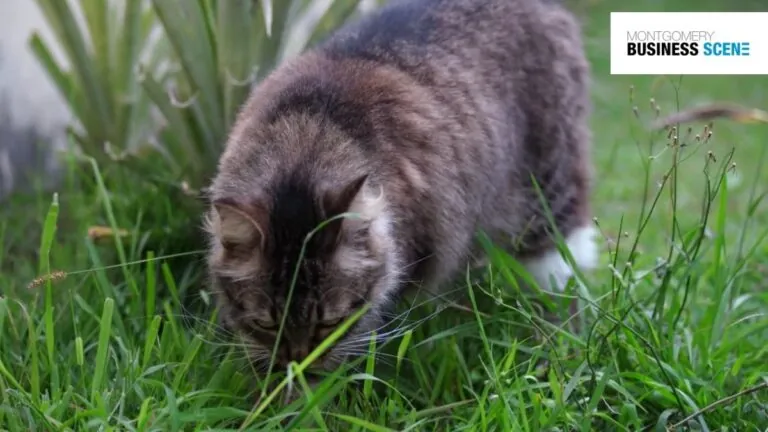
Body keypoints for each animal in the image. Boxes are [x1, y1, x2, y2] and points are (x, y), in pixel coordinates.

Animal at [204, 0, 600, 372]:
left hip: (550, 191)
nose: (298, 360)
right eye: (267, 325)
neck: (304, 142)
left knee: (561, 268)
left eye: (330, 324)